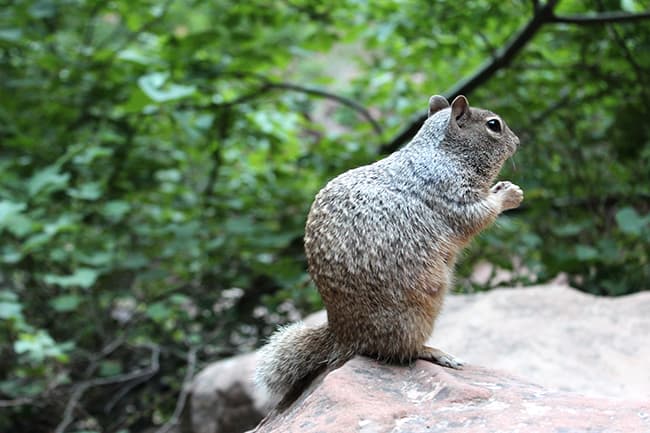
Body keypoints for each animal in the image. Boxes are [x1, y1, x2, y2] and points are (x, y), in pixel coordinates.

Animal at [253, 93, 520, 402]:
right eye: (494, 125)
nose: (517, 141)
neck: (444, 153)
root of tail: (343, 334)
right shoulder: (452, 194)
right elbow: (479, 215)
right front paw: (509, 194)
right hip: (417, 312)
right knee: (399, 350)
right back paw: (435, 352)